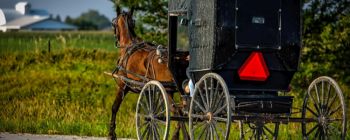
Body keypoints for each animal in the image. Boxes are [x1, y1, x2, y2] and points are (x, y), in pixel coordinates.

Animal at [108, 6, 189, 140]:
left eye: (113, 23)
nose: (115, 38)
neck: (128, 45)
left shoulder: (123, 85)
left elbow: (114, 107)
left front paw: (111, 134)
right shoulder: (148, 89)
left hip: (168, 90)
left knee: (178, 111)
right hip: (178, 90)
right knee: (184, 111)